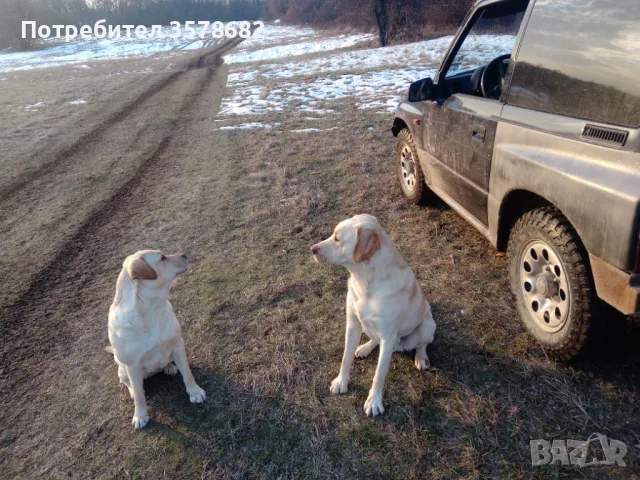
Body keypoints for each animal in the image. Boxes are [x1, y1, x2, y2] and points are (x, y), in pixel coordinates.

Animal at [105, 249, 205, 430]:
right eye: (163, 258)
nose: (185, 254)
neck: (151, 310)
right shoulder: (132, 365)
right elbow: (139, 396)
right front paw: (140, 415)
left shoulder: (178, 344)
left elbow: (187, 373)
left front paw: (195, 392)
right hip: (122, 370)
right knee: (130, 385)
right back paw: (132, 390)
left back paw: (169, 367)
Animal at [310, 214, 436, 416]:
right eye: (333, 234)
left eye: (337, 239)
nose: (312, 249)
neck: (365, 282)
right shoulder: (353, 325)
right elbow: (345, 357)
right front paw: (341, 381)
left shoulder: (388, 337)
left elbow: (379, 373)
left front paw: (374, 401)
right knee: (373, 339)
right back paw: (364, 348)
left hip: (427, 326)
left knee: (422, 344)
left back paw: (421, 358)